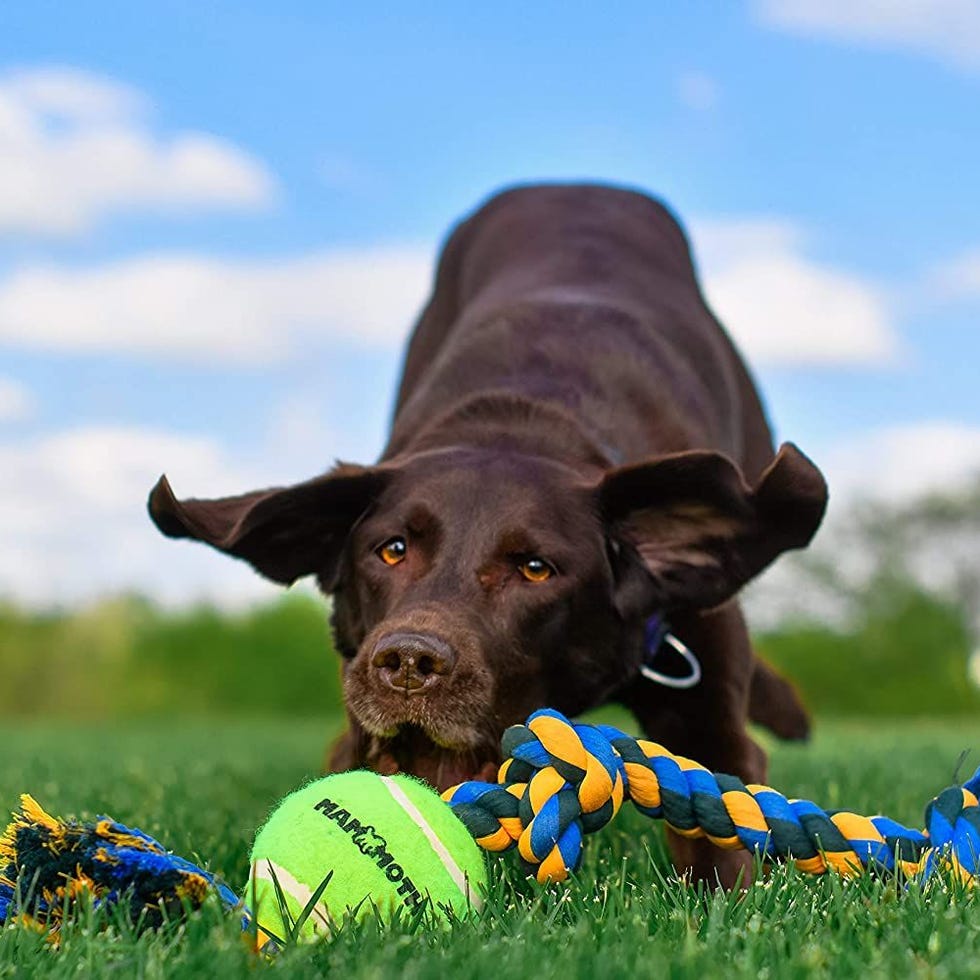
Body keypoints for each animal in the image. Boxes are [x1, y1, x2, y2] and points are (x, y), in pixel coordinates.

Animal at [149, 184, 828, 888]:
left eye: (535, 568)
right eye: (391, 550)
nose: (408, 664)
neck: (520, 421)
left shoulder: (708, 708)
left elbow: (723, 839)